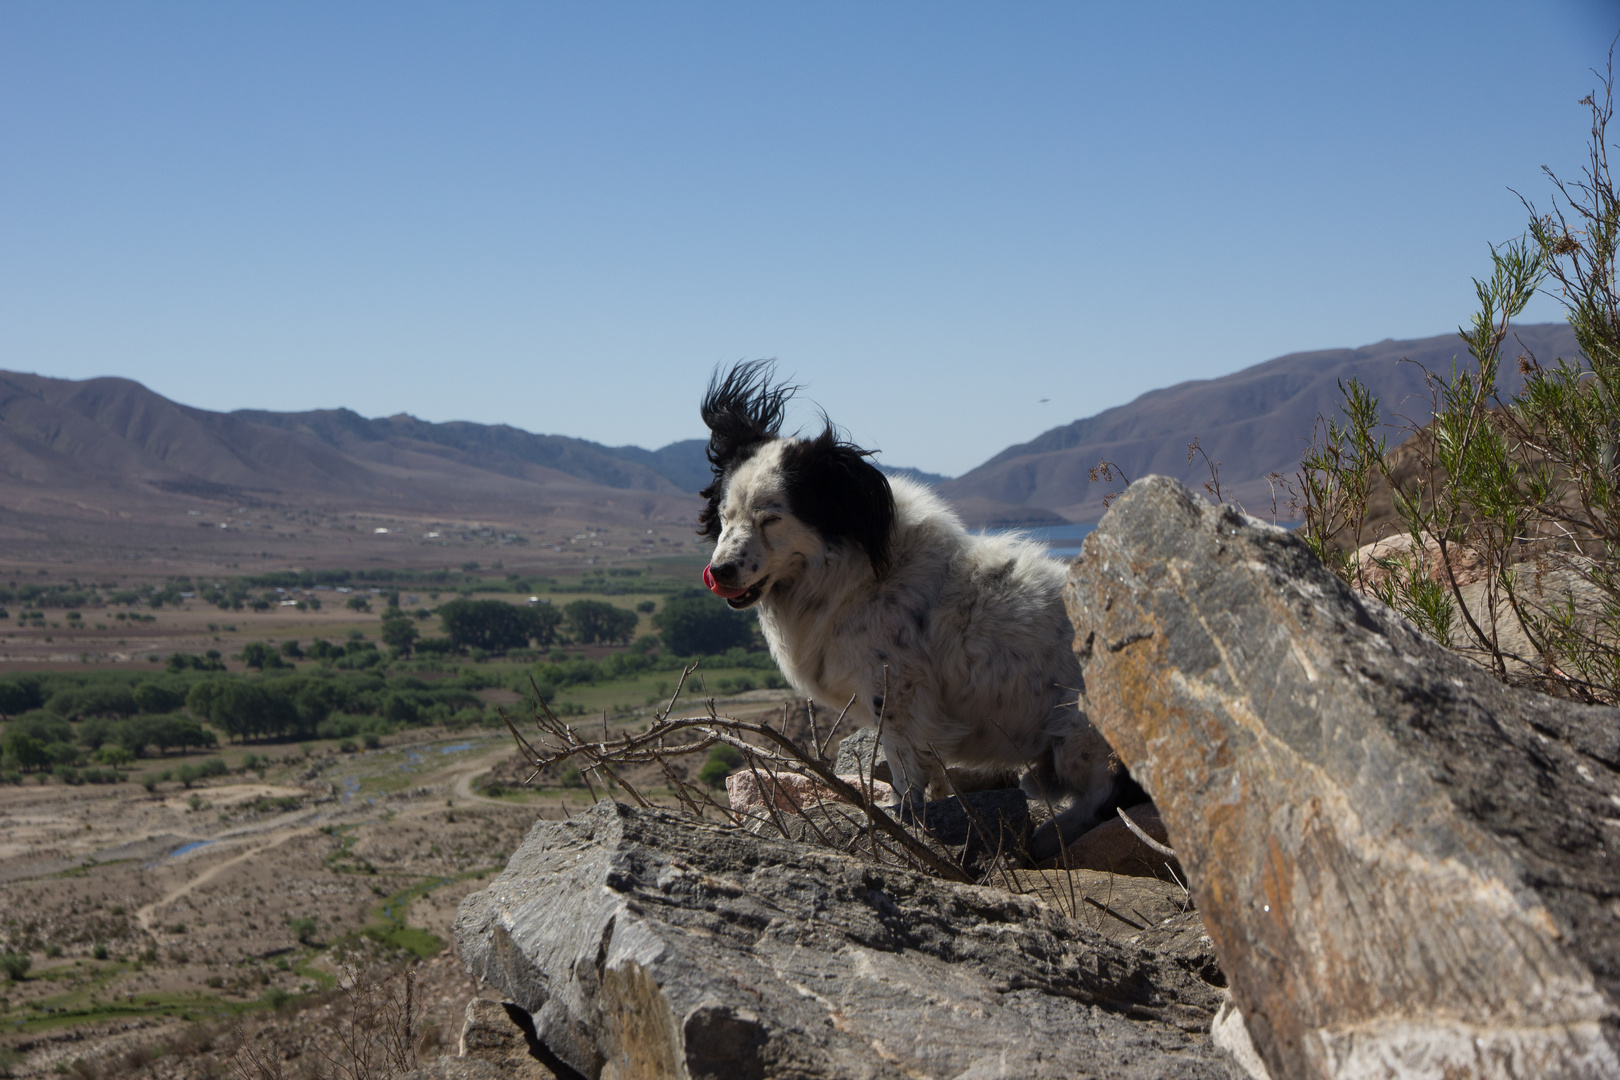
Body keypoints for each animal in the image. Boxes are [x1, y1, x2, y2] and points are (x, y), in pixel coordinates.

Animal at [696, 362, 1140, 861]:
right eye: (725, 514)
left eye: (772, 517)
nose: (719, 571)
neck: (856, 572)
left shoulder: (898, 691)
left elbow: (905, 767)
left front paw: (902, 817)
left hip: (1078, 733)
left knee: (1108, 795)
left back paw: (1050, 833)